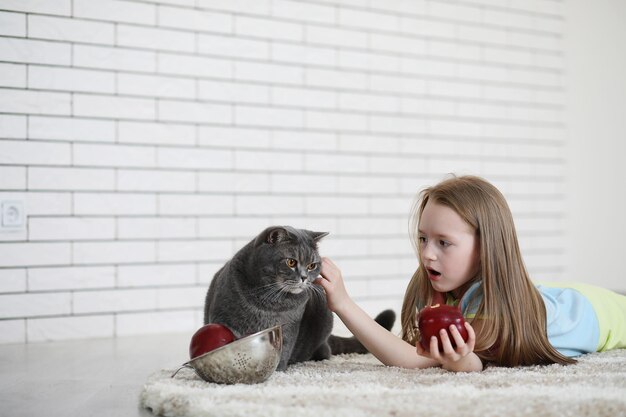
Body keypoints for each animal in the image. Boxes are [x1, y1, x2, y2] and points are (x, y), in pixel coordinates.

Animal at [202, 226, 392, 368]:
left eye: (312, 265)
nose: (304, 277)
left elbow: (283, 347)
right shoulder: (223, 316)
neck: (269, 300)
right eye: (291, 262)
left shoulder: (289, 326)